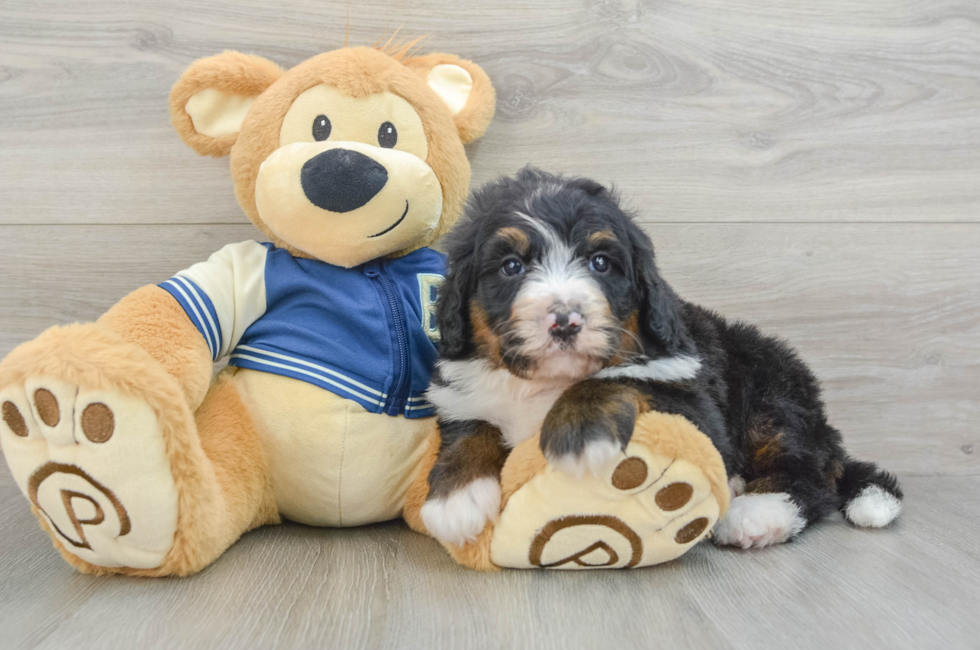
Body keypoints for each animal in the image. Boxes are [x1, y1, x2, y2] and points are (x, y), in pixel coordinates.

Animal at [422, 166, 904, 548]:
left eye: (600, 262)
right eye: (511, 267)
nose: (565, 321)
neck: (546, 383)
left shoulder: (693, 397)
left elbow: (617, 379)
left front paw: (578, 432)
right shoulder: (461, 392)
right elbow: (472, 427)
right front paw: (456, 499)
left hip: (772, 393)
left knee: (808, 475)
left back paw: (756, 512)